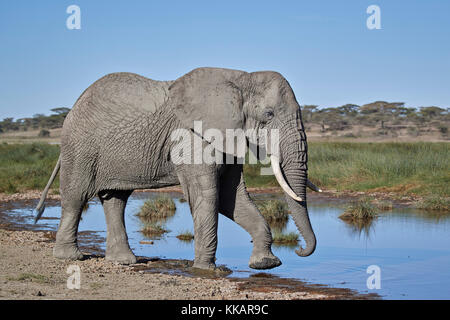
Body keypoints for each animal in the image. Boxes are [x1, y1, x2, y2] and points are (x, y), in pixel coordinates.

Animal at [35, 67, 320, 270]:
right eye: (269, 115)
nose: (300, 251)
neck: (240, 79)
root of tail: (75, 105)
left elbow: (231, 198)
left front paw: (265, 264)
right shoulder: (191, 136)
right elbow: (208, 196)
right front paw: (207, 270)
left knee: (116, 200)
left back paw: (124, 261)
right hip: (80, 147)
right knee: (76, 197)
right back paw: (70, 257)